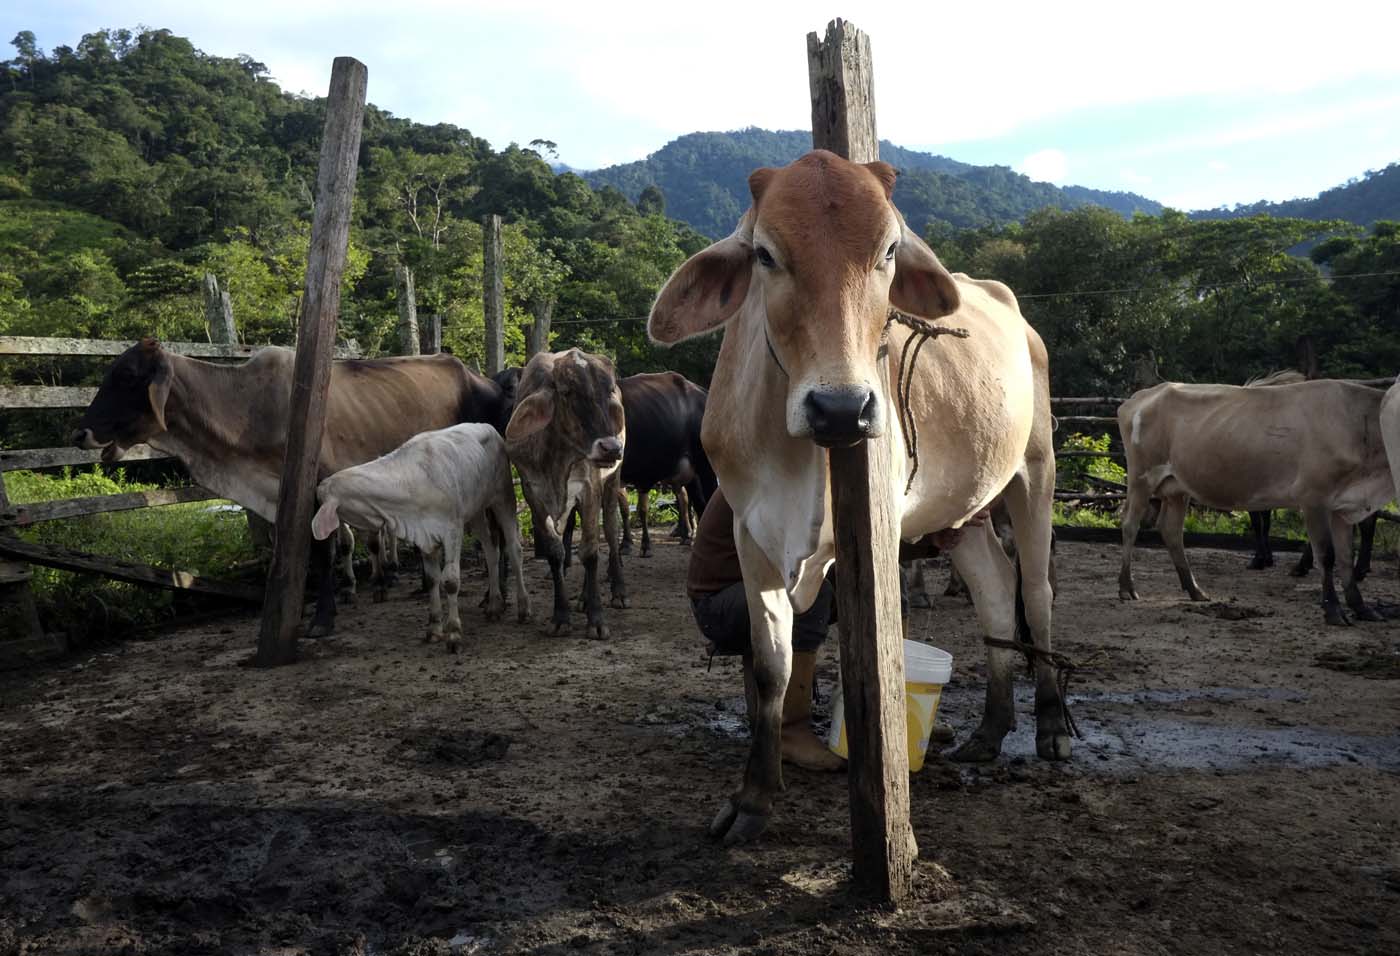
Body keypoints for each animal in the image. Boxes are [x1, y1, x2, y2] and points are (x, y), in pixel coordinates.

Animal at [71, 335, 509, 635]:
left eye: (127, 376)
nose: (78, 432)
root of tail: (481, 378)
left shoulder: (319, 489)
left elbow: (324, 550)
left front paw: (322, 618)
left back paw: (495, 595)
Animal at [313, 425, 529, 649]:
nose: (317, 488)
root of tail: (489, 428)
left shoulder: (453, 529)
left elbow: (451, 581)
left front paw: (453, 632)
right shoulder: (425, 536)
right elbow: (433, 579)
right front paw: (434, 628)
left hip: (503, 496)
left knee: (514, 549)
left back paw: (523, 607)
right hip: (476, 511)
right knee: (490, 550)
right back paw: (494, 605)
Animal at [506, 347, 627, 638]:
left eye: (609, 391)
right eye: (567, 392)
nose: (611, 448)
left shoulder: (590, 488)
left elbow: (590, 551)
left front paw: (596, 619)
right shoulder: (533, 494)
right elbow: (555, 552)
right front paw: (561, 616)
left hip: (612, 482)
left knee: (610, 531)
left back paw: (617, 592)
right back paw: (582, 599)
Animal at [644, 149, 1058, 845]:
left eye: (890, 250)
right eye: (765, 254)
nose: (841, 409)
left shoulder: (879, 528)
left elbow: (881, 660)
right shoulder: (750, 531)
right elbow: (772, 664)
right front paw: (753, 800)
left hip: (1036, 469)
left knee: (1037, 592)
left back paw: (1051, 726)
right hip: (966, 513)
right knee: (997, 595)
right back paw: (989, 731)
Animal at [1114, 380, 1388, 627]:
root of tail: (1143, 395)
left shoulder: (1346, 504)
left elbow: (1346, 557)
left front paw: (1361, 607)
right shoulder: (1314, 498)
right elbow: (1327, 555)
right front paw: (1333, 611)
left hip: (1177, 488)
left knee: (1171, 531)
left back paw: (1195, 590)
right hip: (1141, 476)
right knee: (1130, 524)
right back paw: (1127, 587)